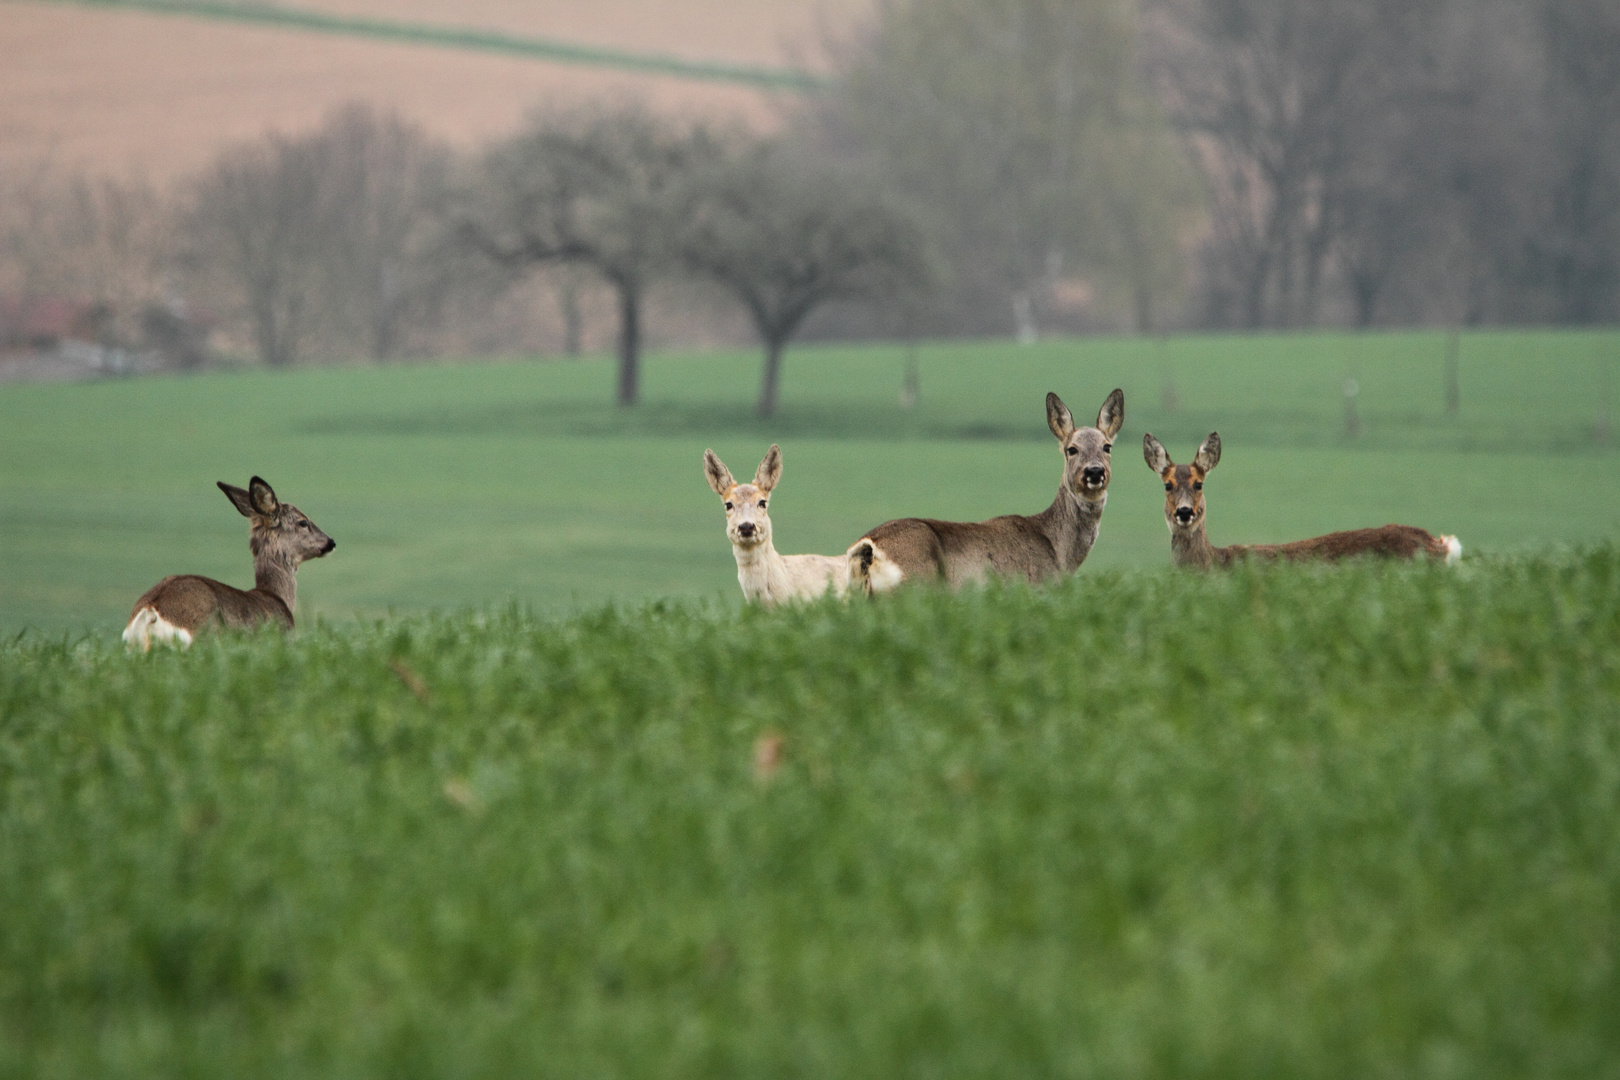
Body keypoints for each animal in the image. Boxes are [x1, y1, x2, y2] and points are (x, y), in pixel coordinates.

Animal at [848, 386, 1127, 595]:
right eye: (1072, 449)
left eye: (1107, 446)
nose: (1094, 472)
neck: (1058, 551)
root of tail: (867, 547)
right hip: (917, 587)